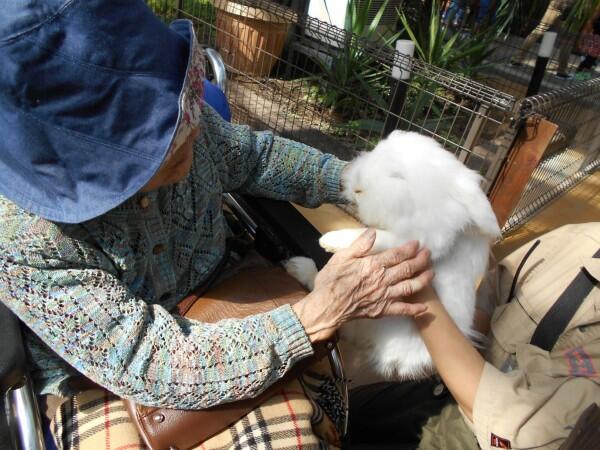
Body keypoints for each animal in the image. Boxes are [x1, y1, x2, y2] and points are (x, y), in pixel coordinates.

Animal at [284, 129, 500, 380]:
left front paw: (330, 240)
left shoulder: (419, 238)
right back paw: (298, 266)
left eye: (398, 177)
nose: (358, 188)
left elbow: (377, 236)